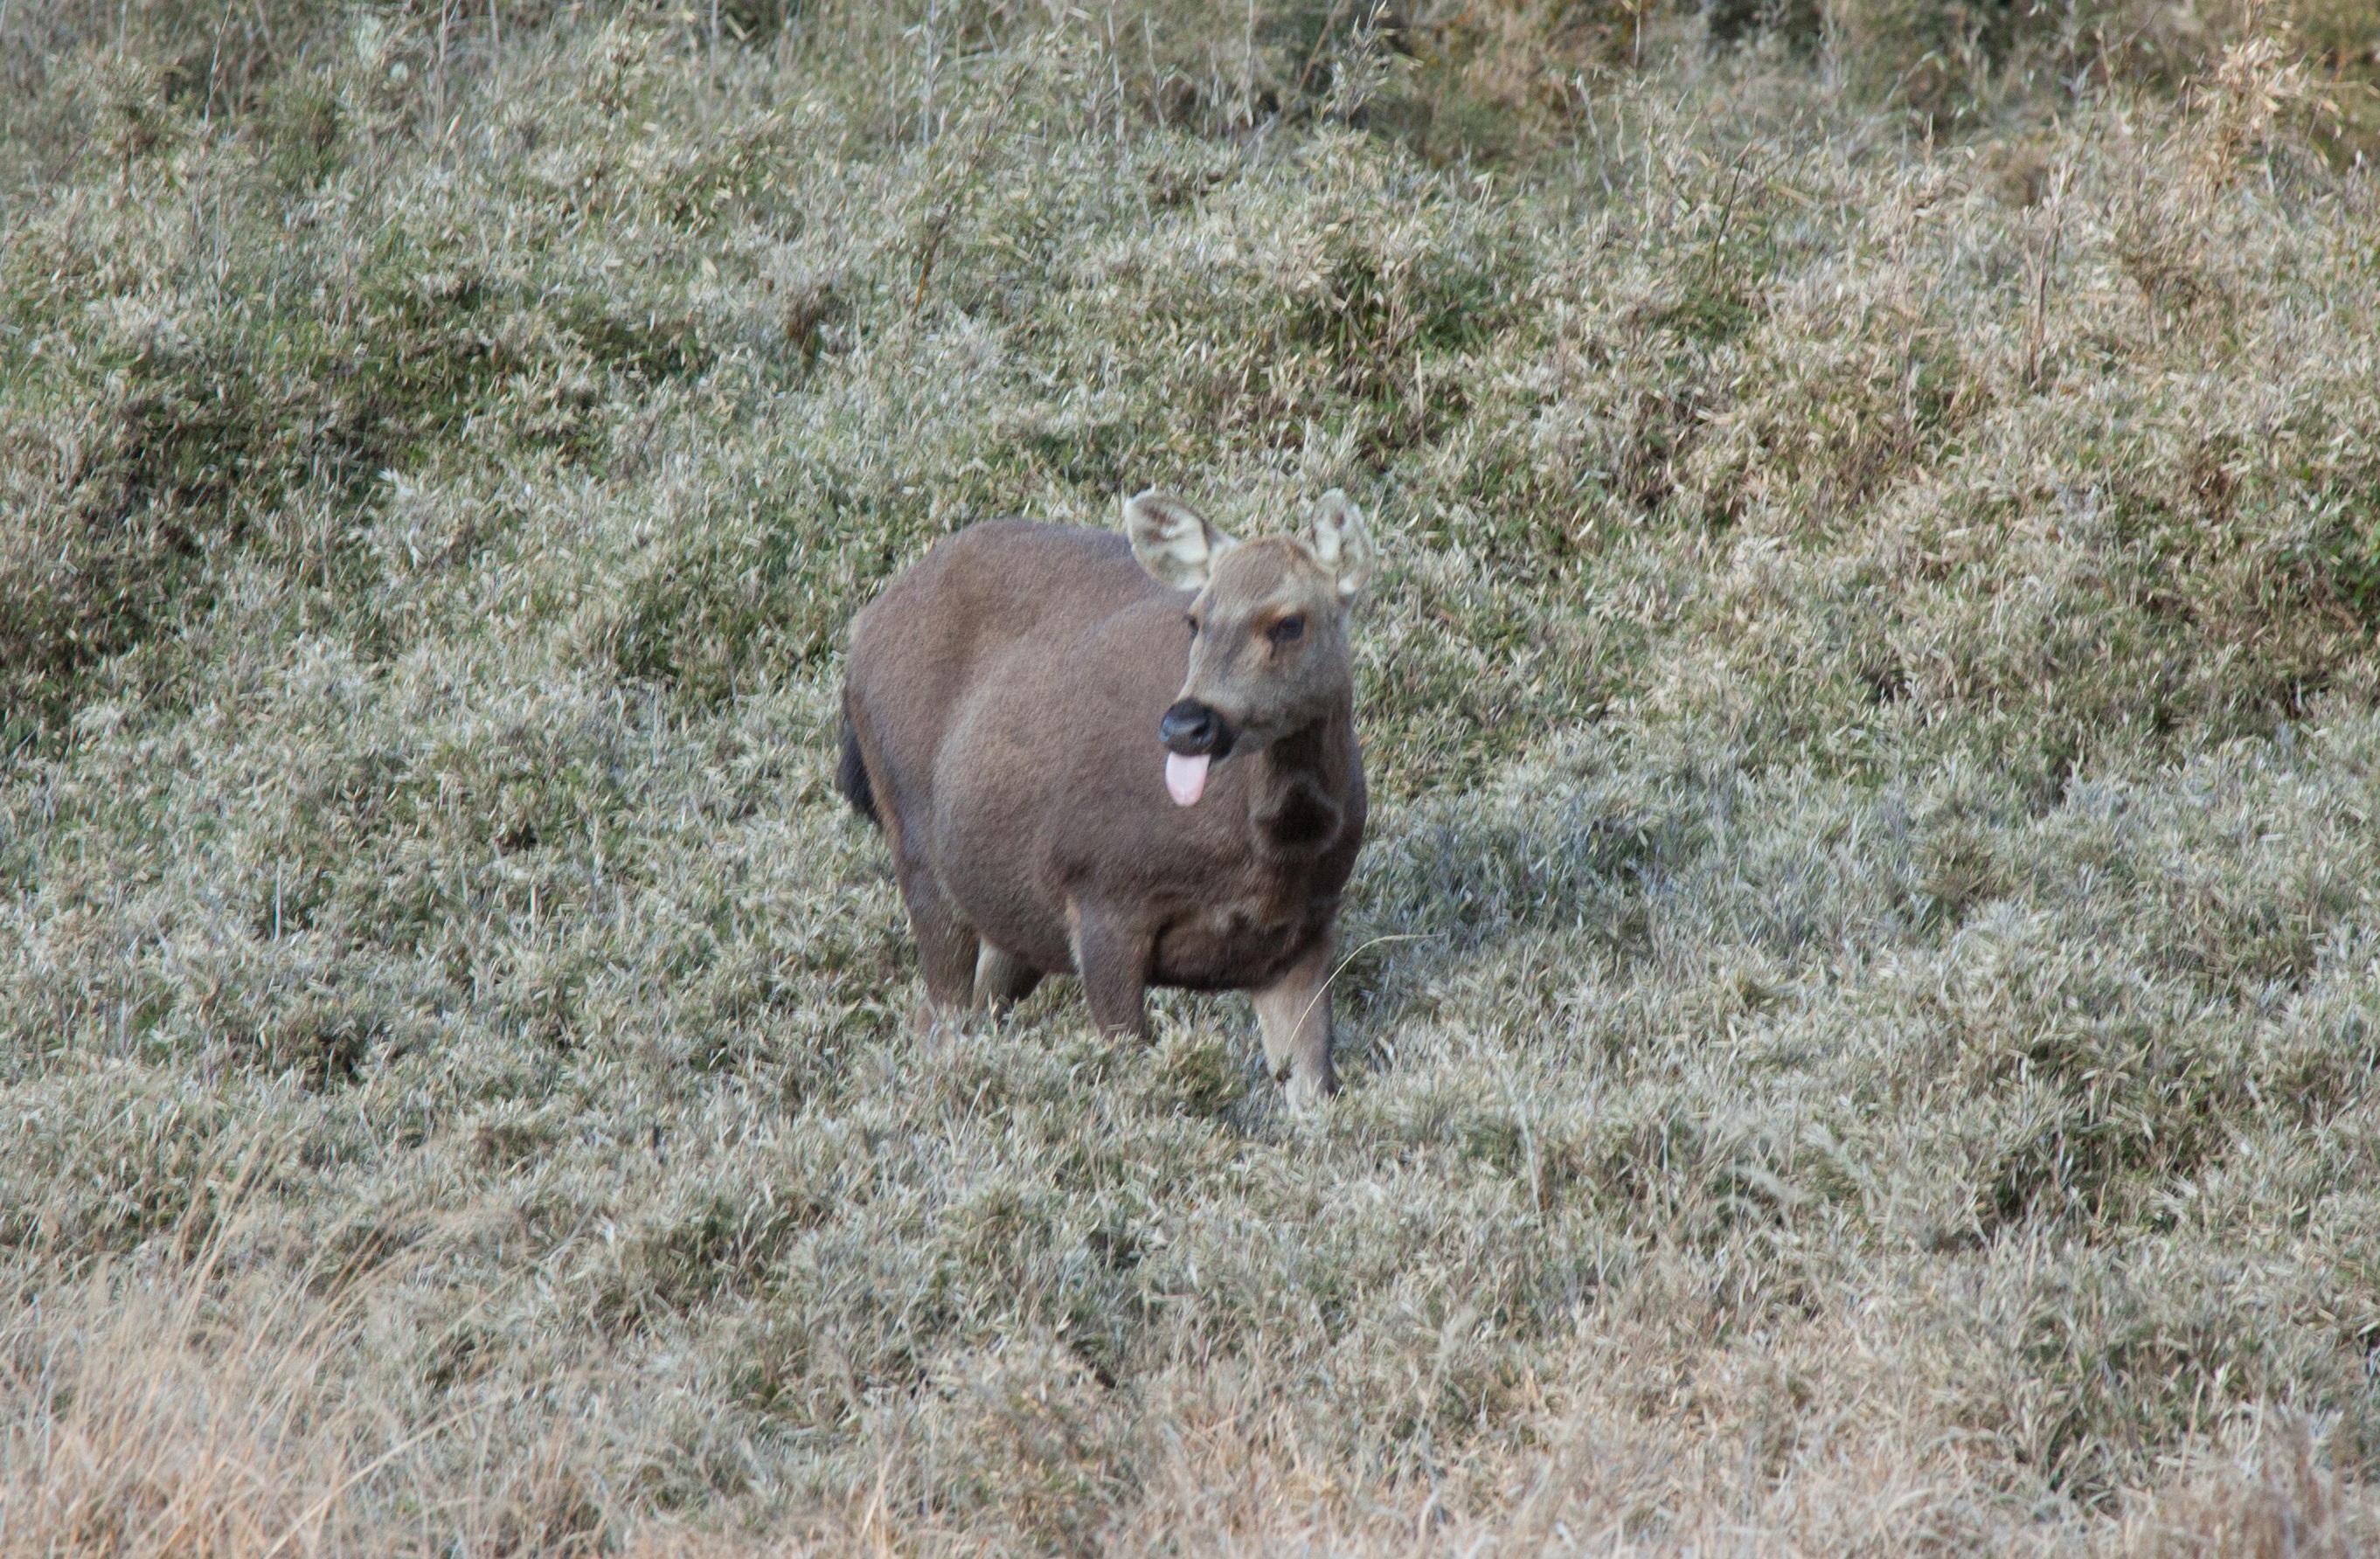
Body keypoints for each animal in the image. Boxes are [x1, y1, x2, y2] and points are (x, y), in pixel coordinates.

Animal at [836, 488, 1374, 1102]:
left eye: (1289, 623)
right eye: (1195, 619)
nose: (1186, 725)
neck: (1271, 851)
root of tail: (862, 626)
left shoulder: (1306, 932)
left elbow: (1314, 1089)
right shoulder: (1101, 894)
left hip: (1012, 909)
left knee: (960, 1009)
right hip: (917, 842)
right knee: (941, 1015)